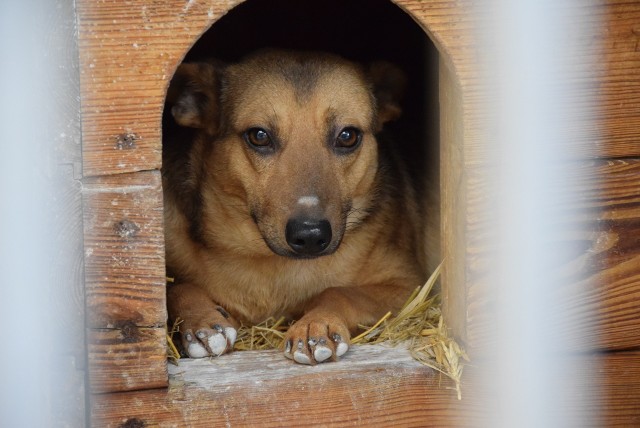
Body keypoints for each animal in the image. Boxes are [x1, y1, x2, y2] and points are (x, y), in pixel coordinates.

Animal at [162, 49, 438, 364]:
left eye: (348, 136)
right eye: (259, 136)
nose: (310, 235)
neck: (269, 265)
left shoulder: (408, 286)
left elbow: (338, 292)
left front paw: (316, 325)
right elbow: (175, 287)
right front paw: (203, 322)